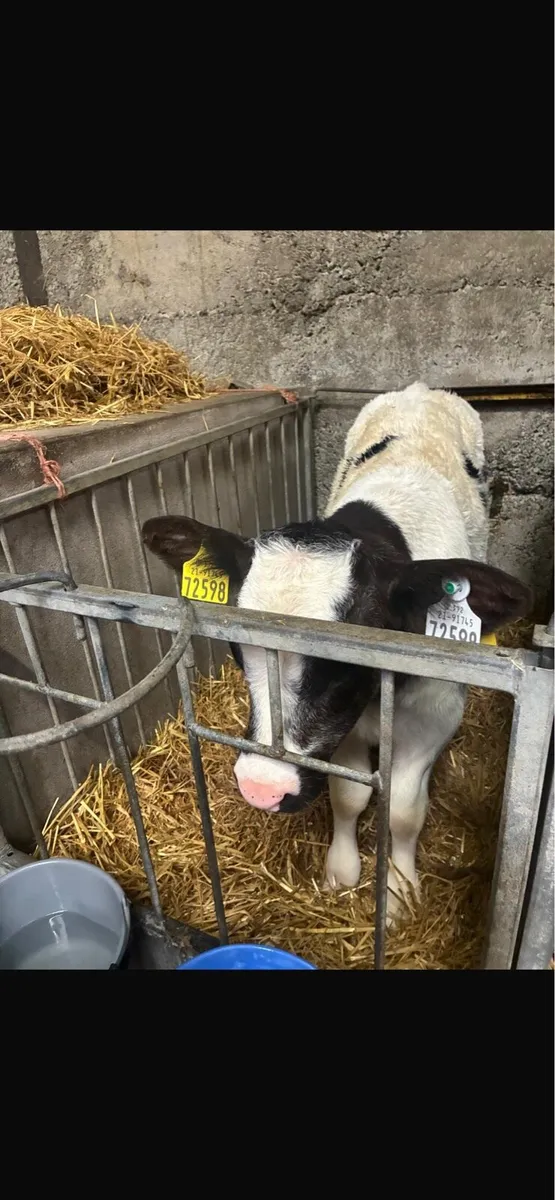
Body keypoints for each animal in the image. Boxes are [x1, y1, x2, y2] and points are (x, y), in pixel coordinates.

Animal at [142, 382, 531, 920]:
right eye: (237, 646)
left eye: (347, 658)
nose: (262, 787)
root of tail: (421, 390)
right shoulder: (341, 730)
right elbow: (349, 794)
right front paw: (342, 870)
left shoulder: (437, 713)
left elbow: (404, 809)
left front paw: (399, 890)